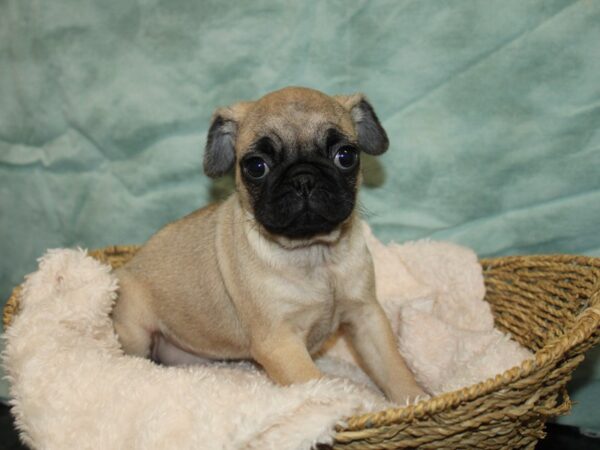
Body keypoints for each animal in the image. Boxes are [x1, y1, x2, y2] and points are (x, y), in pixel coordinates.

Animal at [111, 86, 422, 402]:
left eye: (346, 156)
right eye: (256, 166)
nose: (304, 178)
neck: (314, 253)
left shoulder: (366, 316)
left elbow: (393, 367)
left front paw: (414, 398)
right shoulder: (280, 342)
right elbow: (314, 381)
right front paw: (343, 402)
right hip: (135, 330)